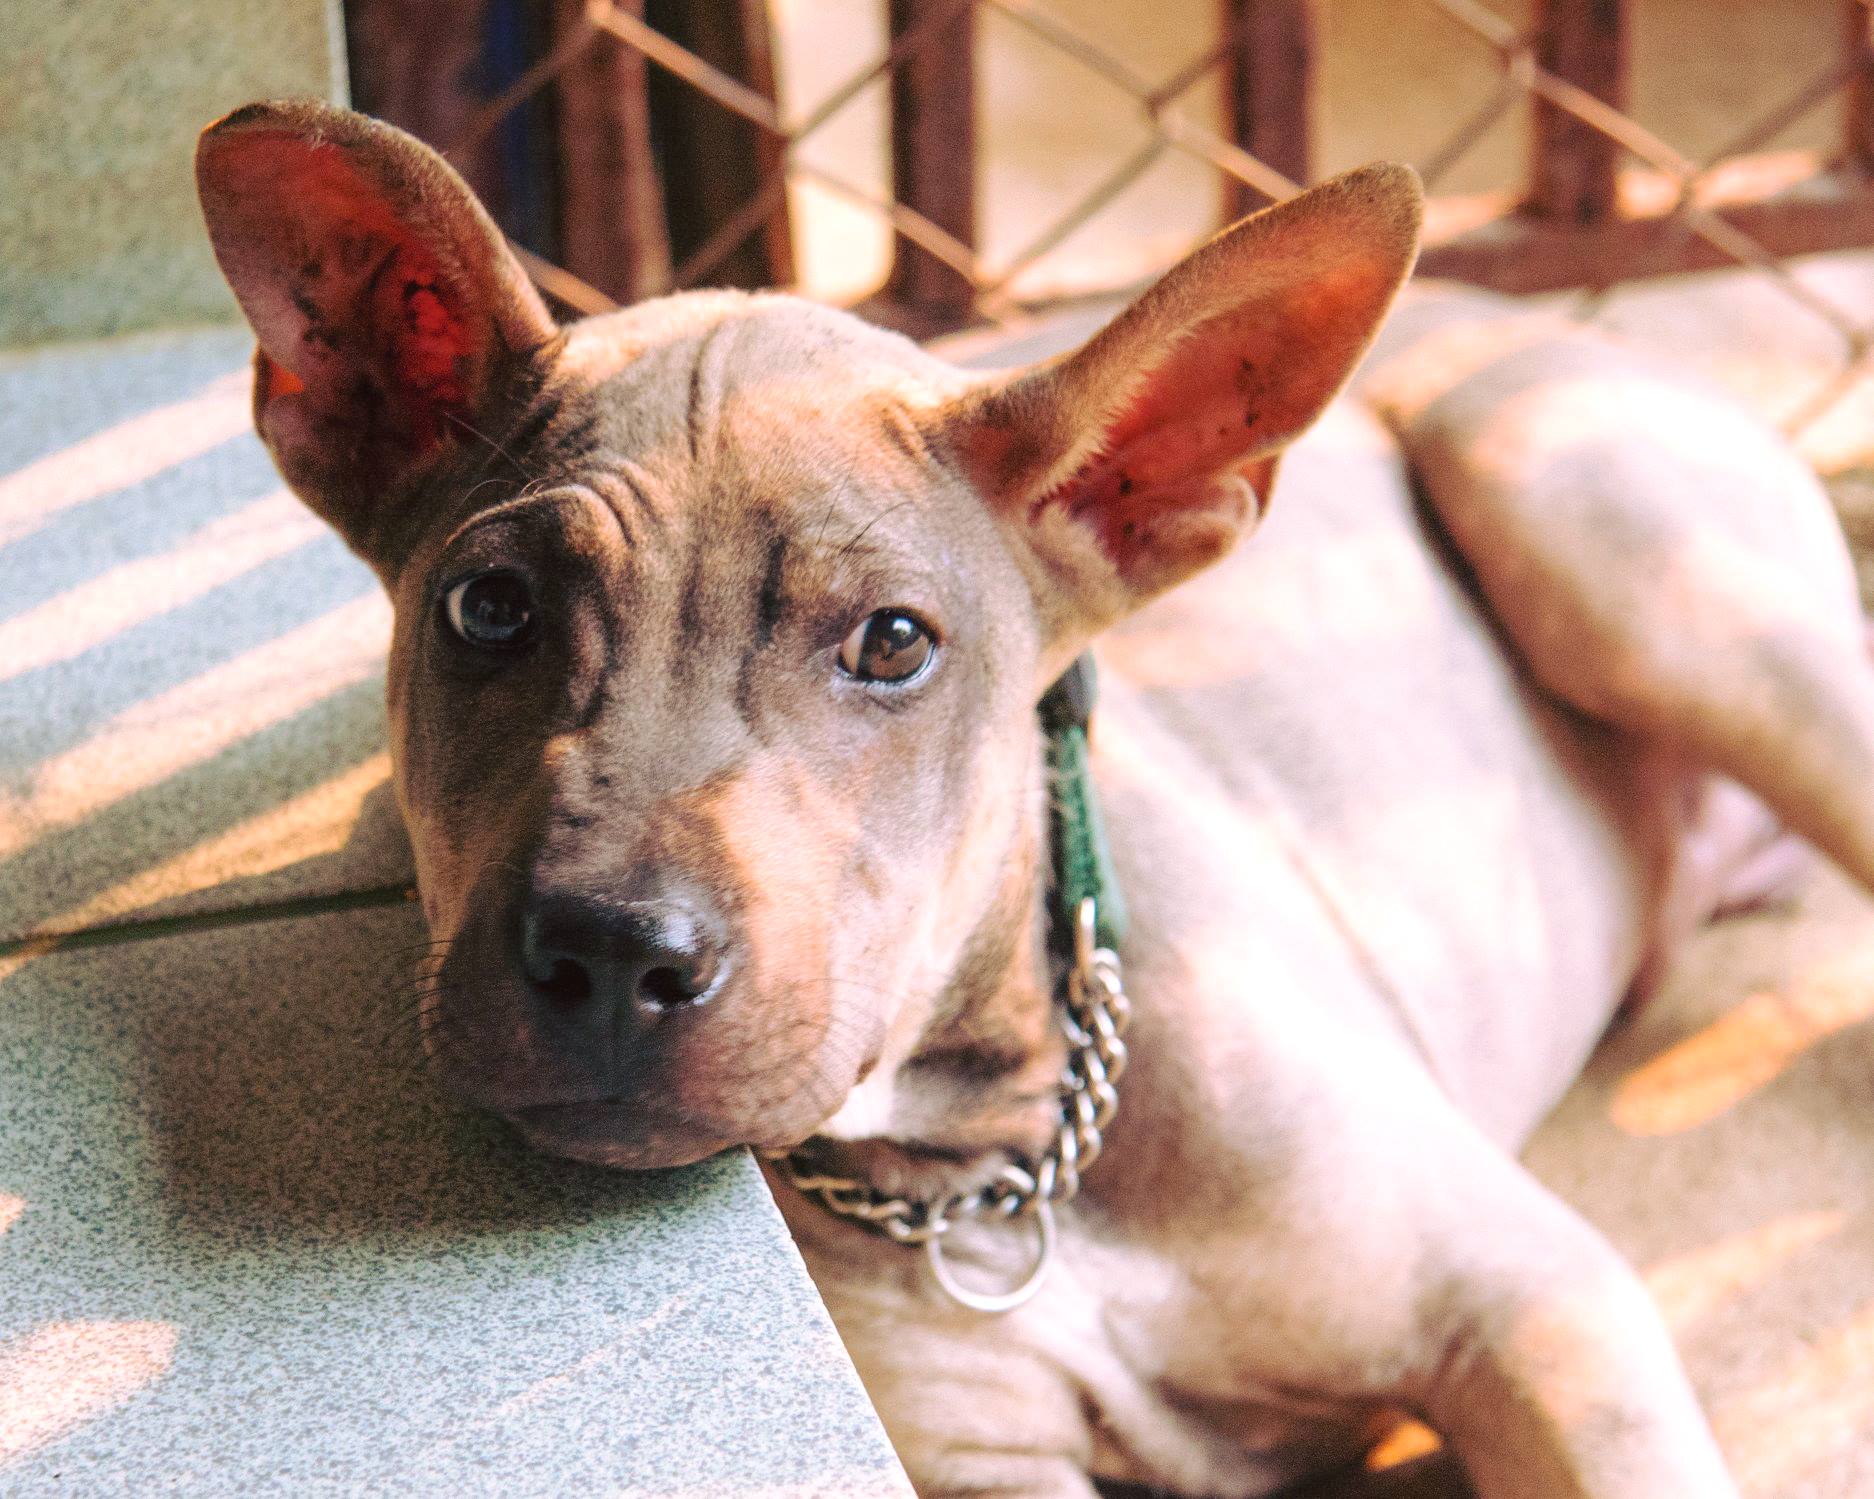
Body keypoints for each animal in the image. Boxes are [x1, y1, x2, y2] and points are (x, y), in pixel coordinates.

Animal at [186, 99, 1874, 1491]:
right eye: (488, 608)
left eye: (892, 643)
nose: (609, 952)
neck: (989, 1157)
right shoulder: (977, 1462)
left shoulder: (1532, 1307)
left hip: (1585, 519)